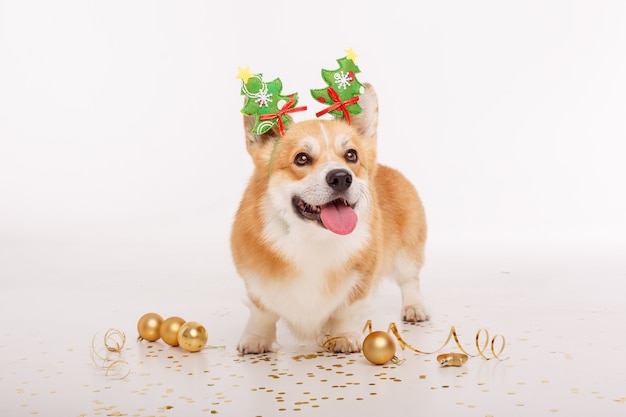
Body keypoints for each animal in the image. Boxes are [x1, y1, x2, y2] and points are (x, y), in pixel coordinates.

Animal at [232, 83, 426, 352]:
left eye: (351, 155)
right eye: (301, 158)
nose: (342, 177)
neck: (313, 239)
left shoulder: (361, 279)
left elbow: (346, 310)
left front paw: (343, 337)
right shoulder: (255, 280)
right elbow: (263, 312)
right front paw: (256, 339)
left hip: (406, 254)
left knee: (410, 281)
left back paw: (414, 308)